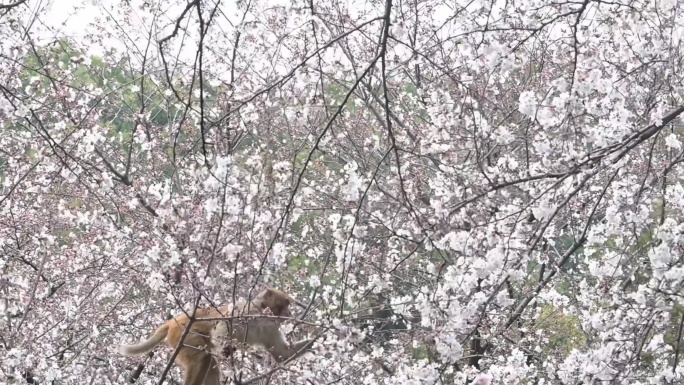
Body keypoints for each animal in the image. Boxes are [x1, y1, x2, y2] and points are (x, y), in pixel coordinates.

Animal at [118, 288, 318, 384]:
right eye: (285, 304)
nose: (289, 313)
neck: (263, 315)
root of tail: (175, 320)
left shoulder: (271, 327)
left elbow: (282, 354)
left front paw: (321, 336)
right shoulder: (247, 311)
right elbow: (222, 326)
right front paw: (225, 348)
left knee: (210, 364)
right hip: (184, 334)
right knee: (203, 356)